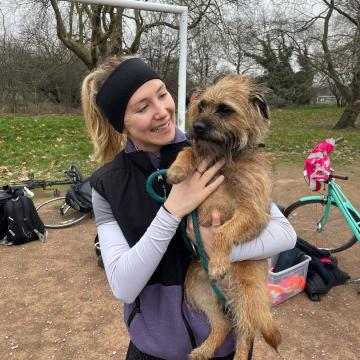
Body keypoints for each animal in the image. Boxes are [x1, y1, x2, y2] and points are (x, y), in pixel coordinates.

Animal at [167, 74, 282, 358]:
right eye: (201, 106)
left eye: (225, 109)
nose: (196, 128)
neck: (229, 156)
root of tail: (227, 291)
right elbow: (190, 151)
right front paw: (176, 169)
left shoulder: (253, 212)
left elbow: (223, 231)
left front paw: (219, 262)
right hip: (199, 290)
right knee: (223, 325)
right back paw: (204, 349)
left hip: (246, 293)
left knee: (245, 332)